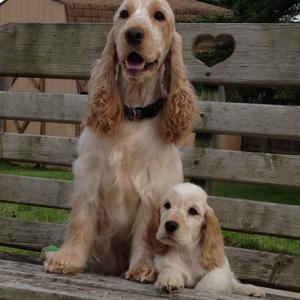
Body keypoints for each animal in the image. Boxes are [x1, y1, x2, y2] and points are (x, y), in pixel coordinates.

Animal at [43, 0, 196, 282]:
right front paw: (67, 259)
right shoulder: (89, 176)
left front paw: (142, 268)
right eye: (124, 14)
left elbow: (146, 233)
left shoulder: (152, 187)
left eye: (159, 16)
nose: (133, 33)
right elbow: (81, 221)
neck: (133, 112)